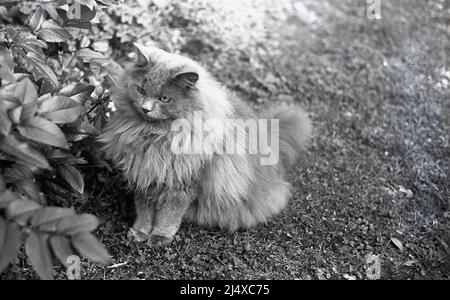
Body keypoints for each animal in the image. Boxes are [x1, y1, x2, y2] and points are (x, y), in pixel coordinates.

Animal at [98, 44, 312, 246]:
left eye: (164, 98)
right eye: (141, 90)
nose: (145, 109)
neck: (154, 136)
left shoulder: (182, 184)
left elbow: (168, 216)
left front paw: (159, 237)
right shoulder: (145, 174)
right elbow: (144, 211)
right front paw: (139, 233)